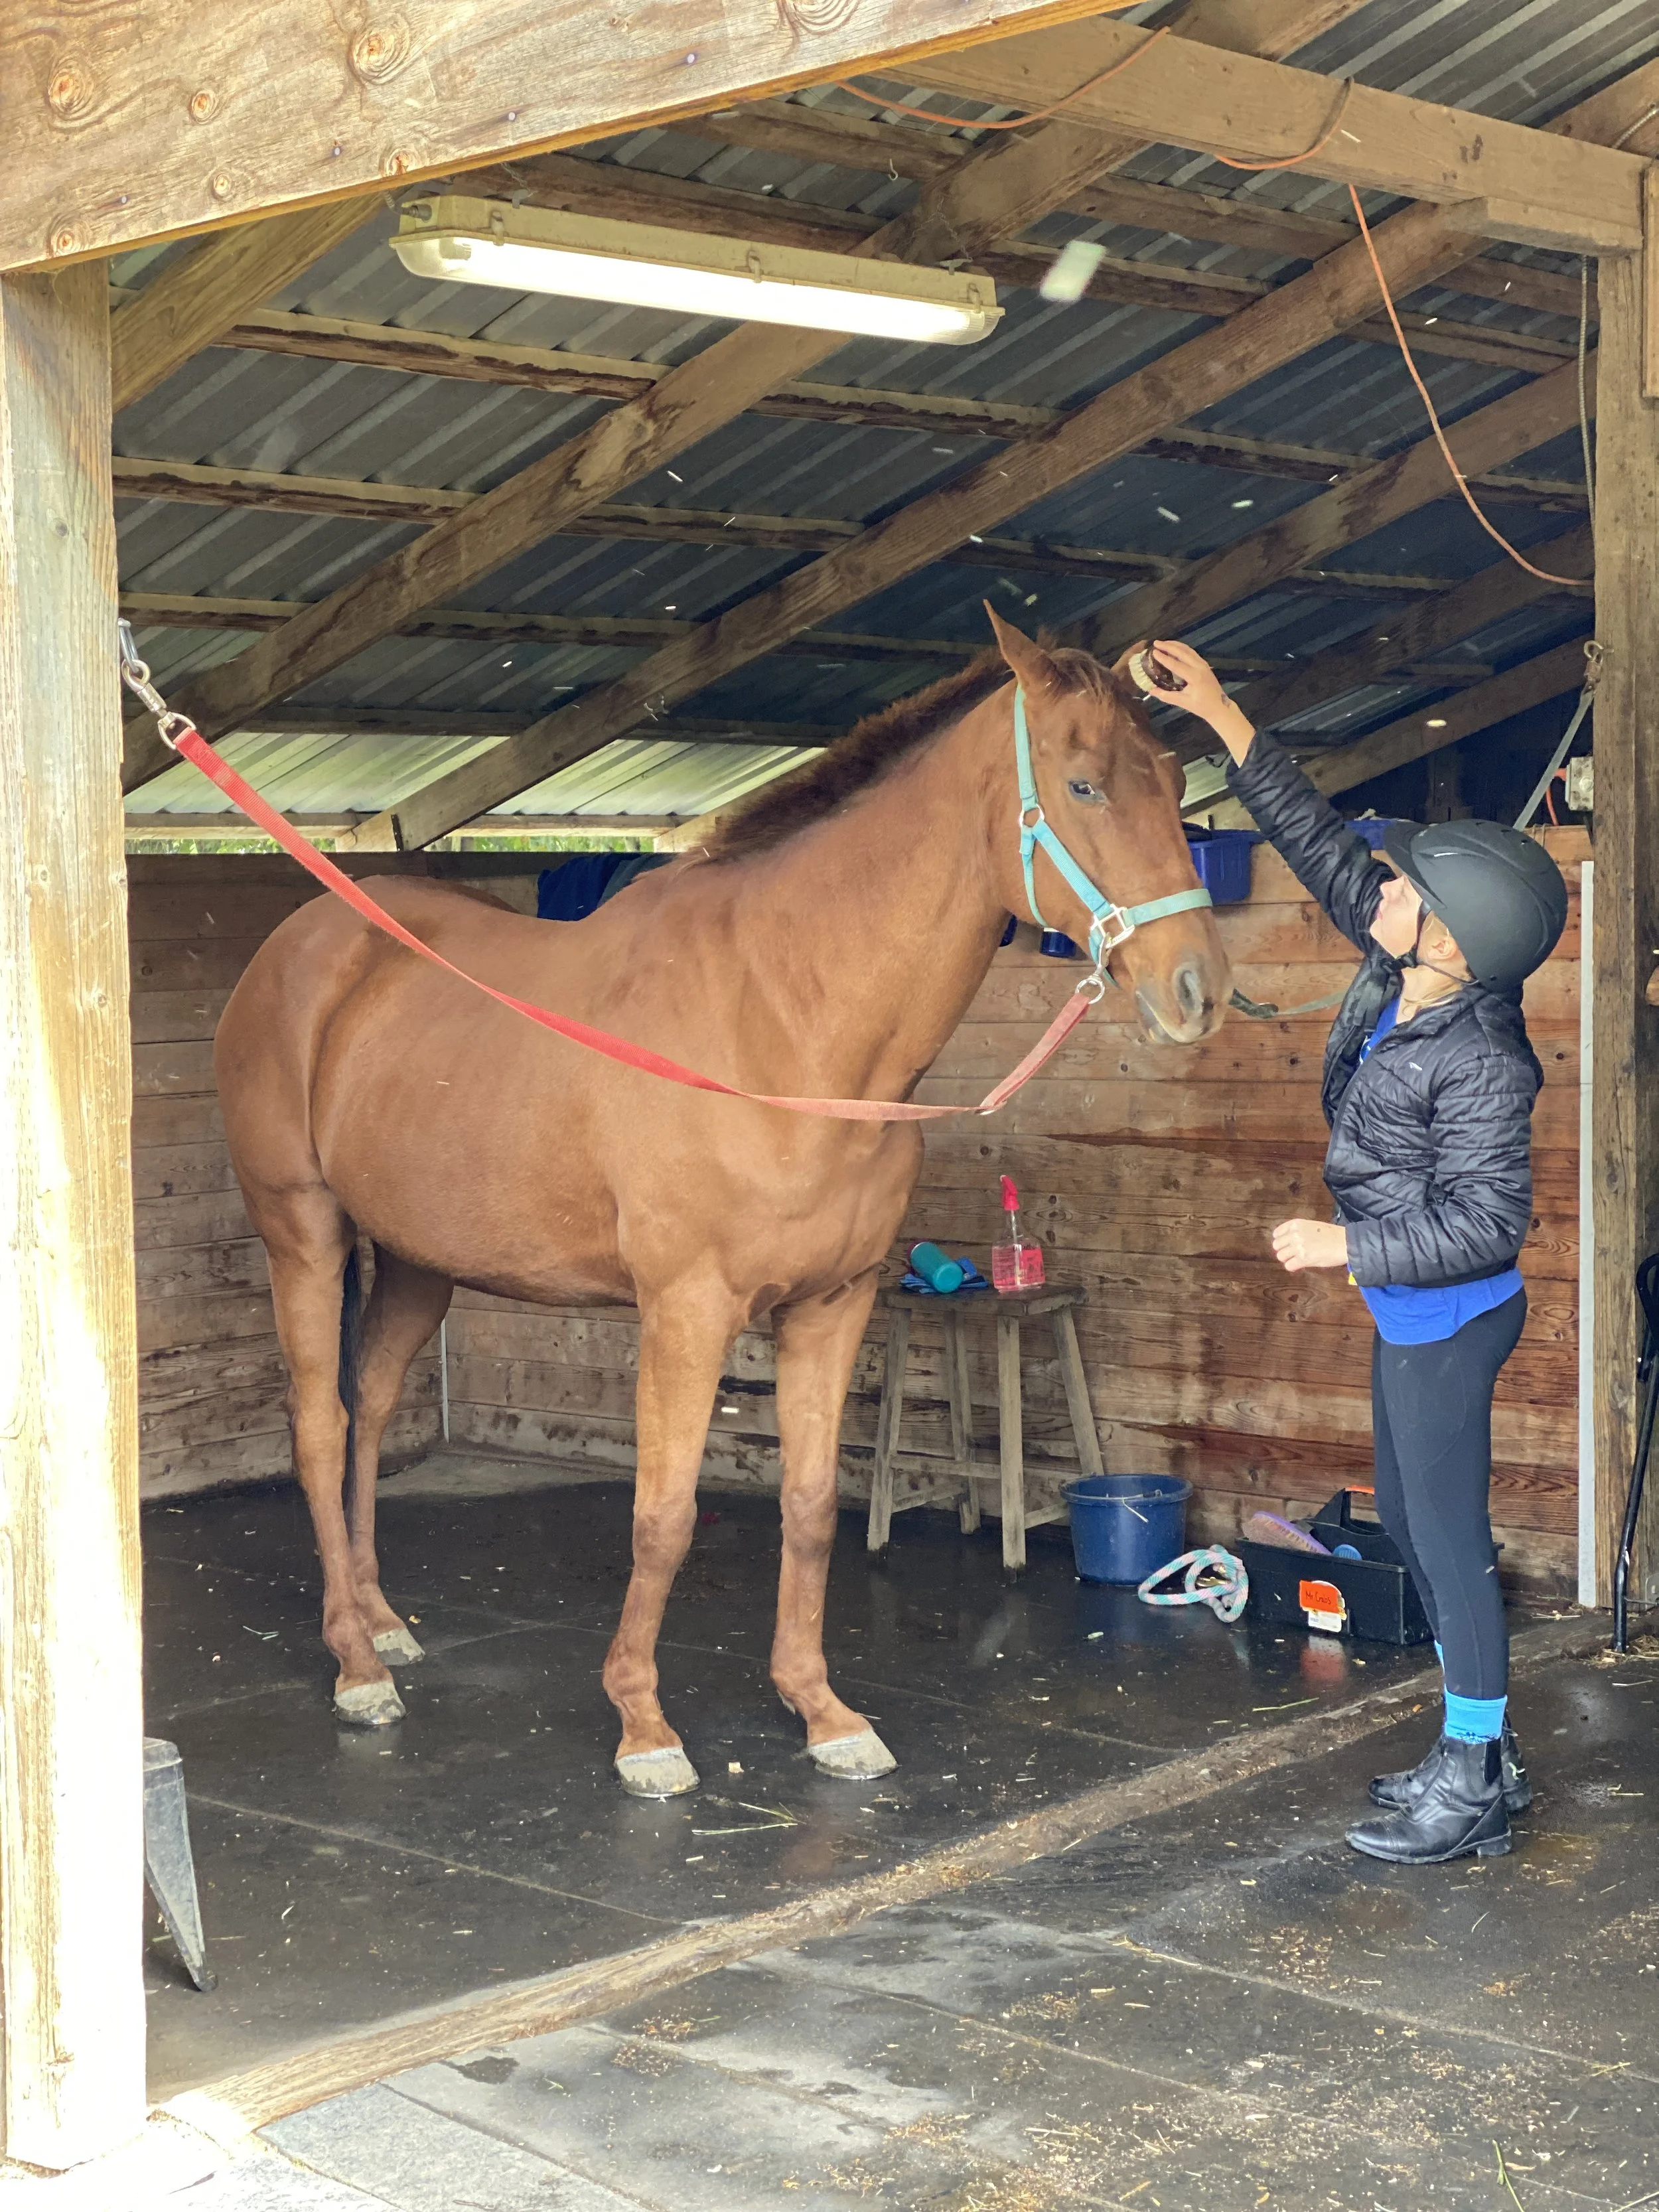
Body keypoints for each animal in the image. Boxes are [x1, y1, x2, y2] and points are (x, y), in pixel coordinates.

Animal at [214, 610, 1231, 1798]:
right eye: (1082, 785)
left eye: (1174, 778)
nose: (1200, 990)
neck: (782, 1022)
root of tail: (304, 946)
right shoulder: (687, 1311)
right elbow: (662, 1515)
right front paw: (644, 1727)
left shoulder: (834, 1306)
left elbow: (811, 1508)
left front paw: (821, 1712)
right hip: (304, 1234)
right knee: (320, 1428)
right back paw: (354, 1664)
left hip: (421, 1257)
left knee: (370, 1408)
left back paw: (382, 1621)